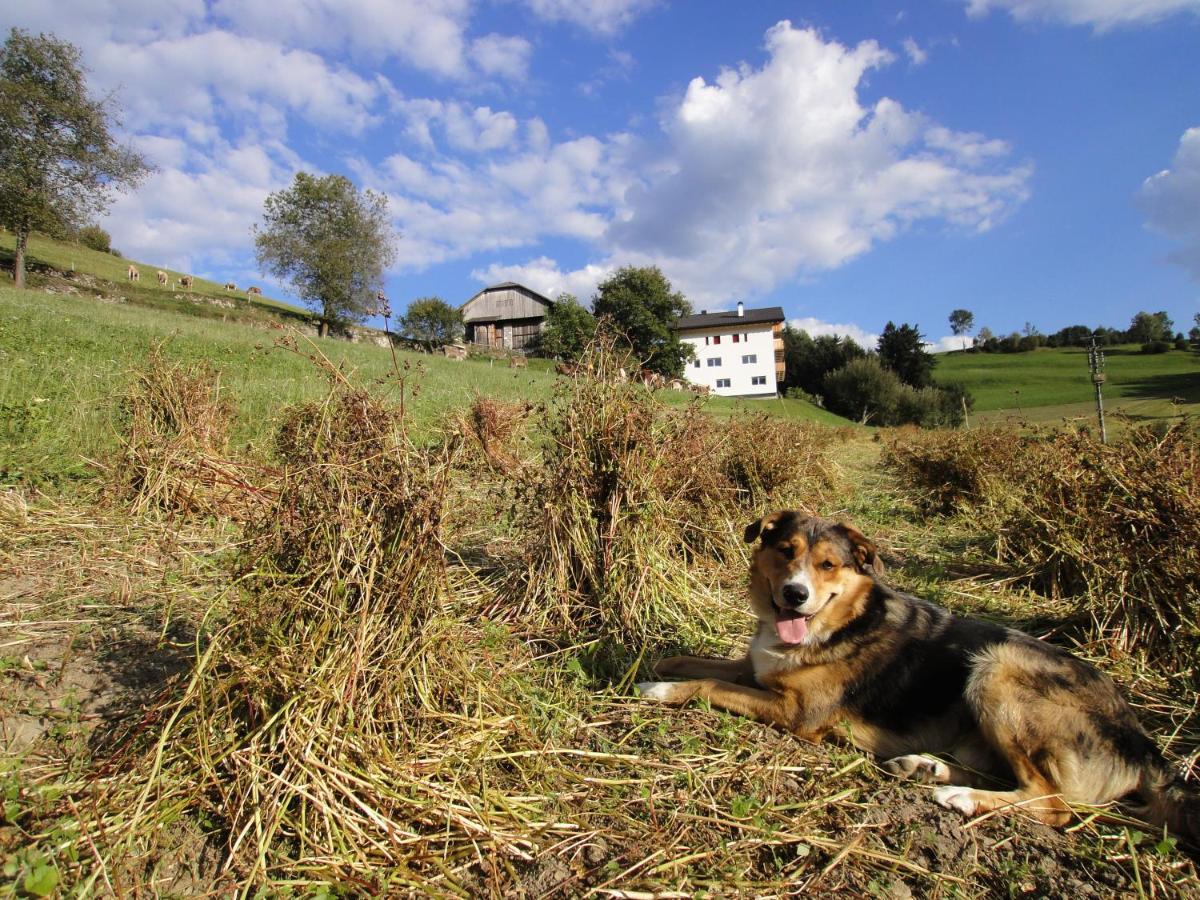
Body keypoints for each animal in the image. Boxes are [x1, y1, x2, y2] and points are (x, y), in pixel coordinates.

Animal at [633, 513, 1195, 844]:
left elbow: (711, 685)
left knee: (1052, 803)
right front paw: (653, 666)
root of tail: (1145, 743)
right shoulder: (756, 666)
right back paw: (926, 768)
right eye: (785, 552)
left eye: (828, 564)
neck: (841, 622)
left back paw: (960, 797)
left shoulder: (796, 714)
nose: (795, 594)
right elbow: (696, 660)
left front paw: (661, 691)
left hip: (998, 669)